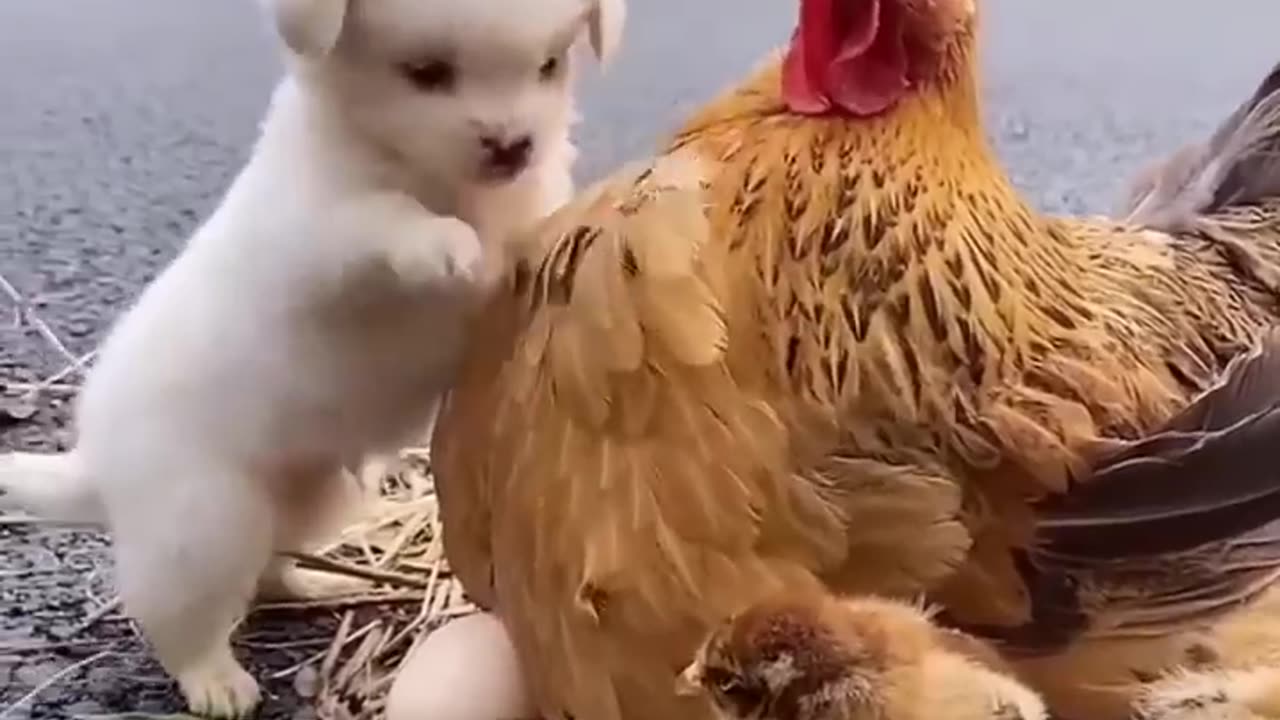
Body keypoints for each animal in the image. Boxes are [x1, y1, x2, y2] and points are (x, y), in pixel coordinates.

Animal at [0, 0, 624, 712]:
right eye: (426, 72)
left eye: (550, 65)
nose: (513, 145)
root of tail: (95, 465)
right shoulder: (316, 230)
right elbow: (383, 217)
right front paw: (446, 245)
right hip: (205, 521)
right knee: (177, 616)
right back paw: (214, 680)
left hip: (313, 496)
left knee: (271, 565)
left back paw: (315, 584)